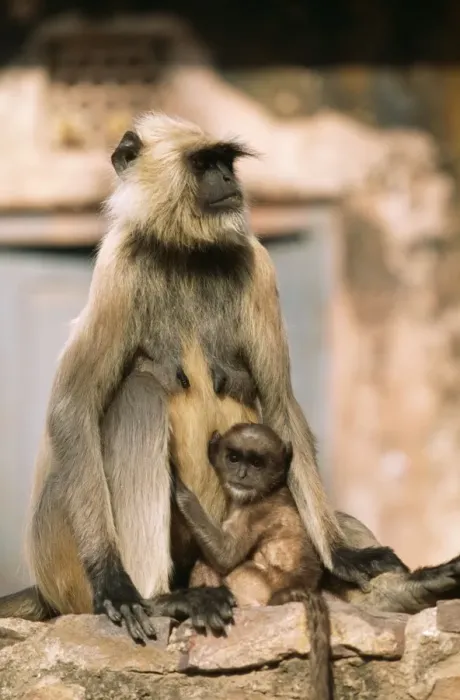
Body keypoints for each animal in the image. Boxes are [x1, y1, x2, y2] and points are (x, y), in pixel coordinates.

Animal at [0, 113, 401, 642]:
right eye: (204, 163)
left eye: (226, 161)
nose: (229, 179)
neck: (185, 251)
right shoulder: (119, 265)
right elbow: (74, 407)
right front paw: (116, 583)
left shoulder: (257, 263)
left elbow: (279, 401)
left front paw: (343, 553)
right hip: (60, 552)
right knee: (139, 392)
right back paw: (161, 598)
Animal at [174, 423, 332, 700]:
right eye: (234, 458)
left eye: (257, 463)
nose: (242, 473)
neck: (271, 490)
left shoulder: (255, 511)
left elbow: (225, 556)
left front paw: (178, 487)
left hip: (256, 583)